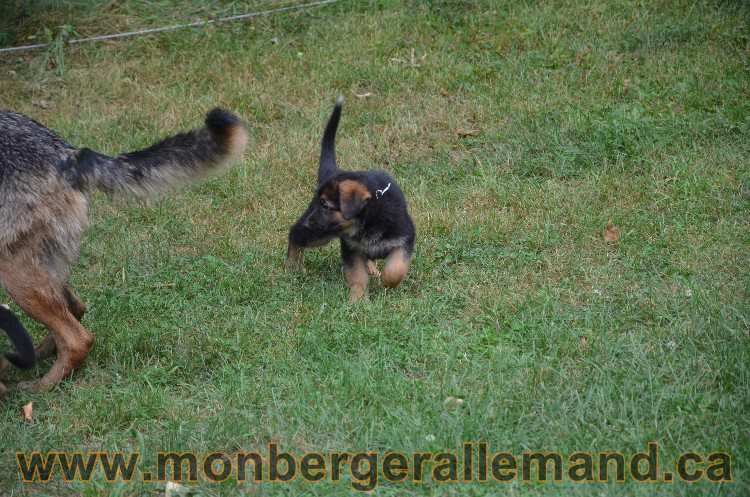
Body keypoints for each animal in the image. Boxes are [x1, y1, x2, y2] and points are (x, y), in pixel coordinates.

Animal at [0, 109, 248, 392]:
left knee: (77, 338)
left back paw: (36, 389)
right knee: (75, 310)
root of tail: (69, 154)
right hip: (40, 270)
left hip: (16, 275)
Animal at [288, 96, 418, 298]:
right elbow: (357, 276)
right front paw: (357, 299)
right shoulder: (351, 248)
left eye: (326, 206)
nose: (308, 223)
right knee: (294, 234)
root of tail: (335, 172)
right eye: (321, 204)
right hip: (319, 233)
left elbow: (396, 269)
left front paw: (386, 281)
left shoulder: (405, 239)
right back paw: (291, 268)